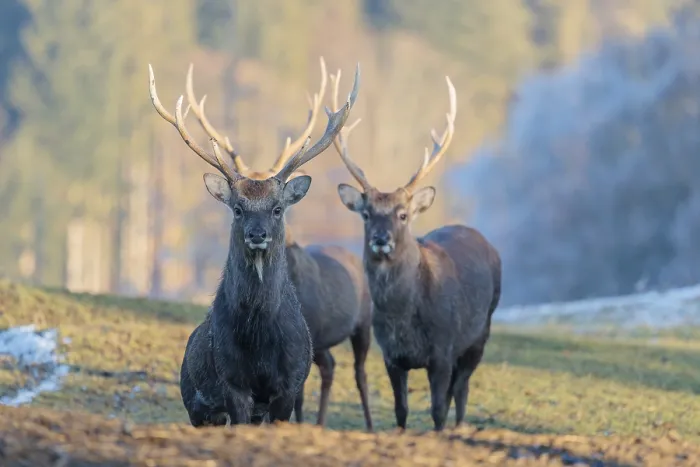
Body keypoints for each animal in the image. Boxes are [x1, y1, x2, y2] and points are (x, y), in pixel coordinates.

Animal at [147, 61, 360, 426]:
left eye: (277, 208)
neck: (260, 338)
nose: (257, 234)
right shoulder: (232, 381)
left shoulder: (289, 384)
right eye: (237, 208)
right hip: (196, 405)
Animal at [329, 74, 501, 431]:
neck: (402, 318)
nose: (381, 238)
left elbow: (437, 410)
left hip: (480, 333)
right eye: (366, 214)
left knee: (461, 390)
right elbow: (401, 410)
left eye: (403, 214)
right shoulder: (392, 358)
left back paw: (459, 428)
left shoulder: (443, 350)